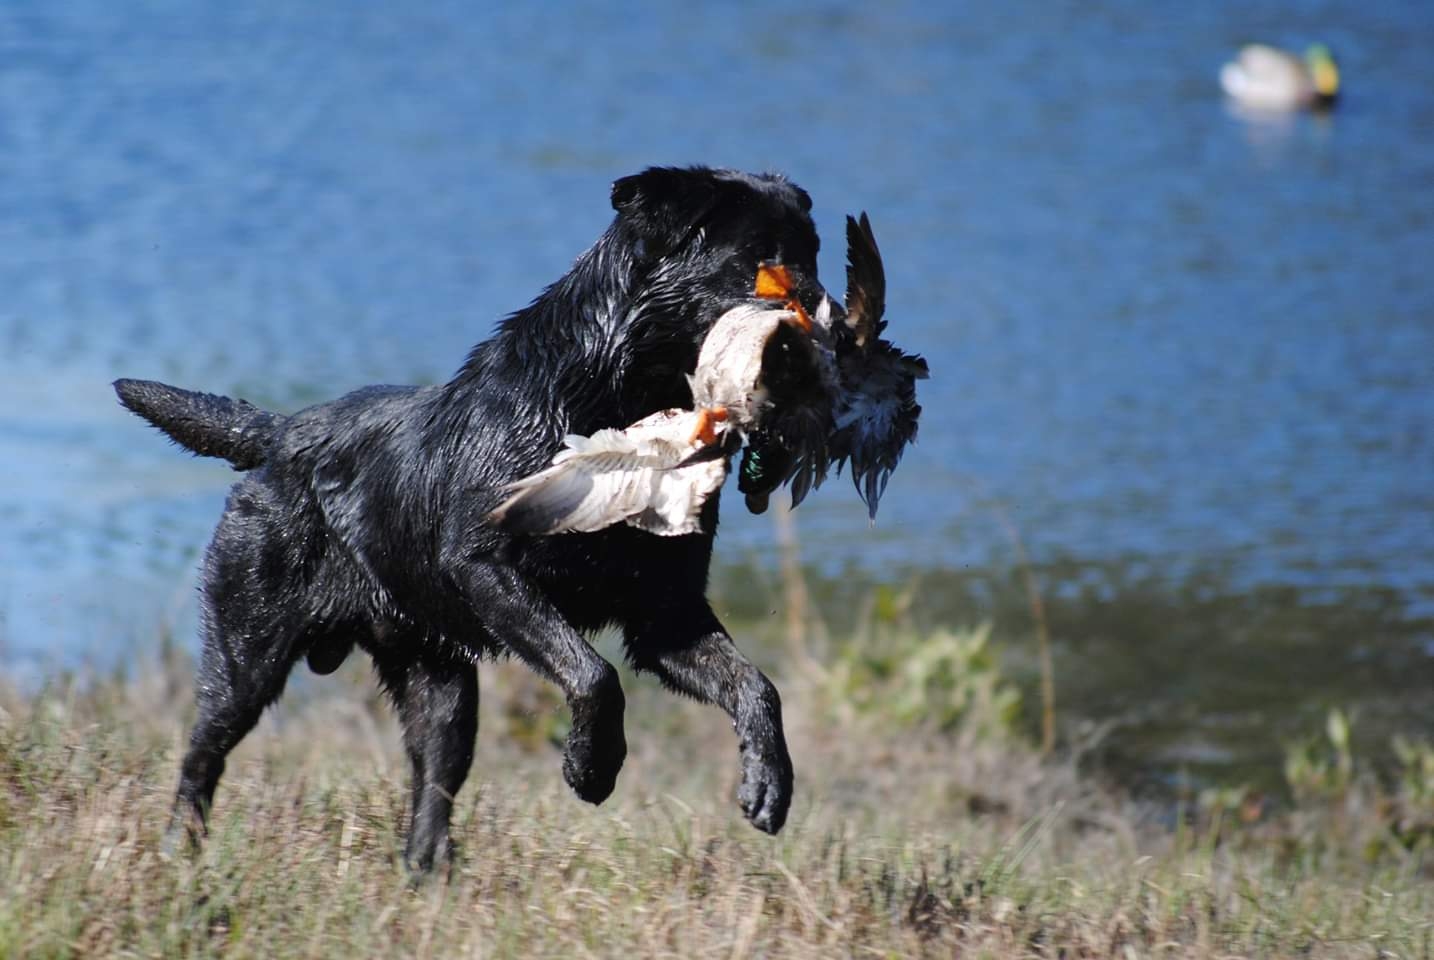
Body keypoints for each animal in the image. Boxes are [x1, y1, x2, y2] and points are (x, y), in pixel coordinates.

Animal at [116, 165, 825, 866]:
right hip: (247, 650)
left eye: (814, 254)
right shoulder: (484, 564)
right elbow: (594, 675)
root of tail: (282, 433)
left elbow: (756, 685)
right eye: (760, 258)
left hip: (439, 687)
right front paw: (592, 767)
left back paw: (427, 876)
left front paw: (769, 784)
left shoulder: (666, 614)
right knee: (202, 753)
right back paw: (180, 853)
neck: (615, 401)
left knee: (431, 794)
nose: (827, 314)